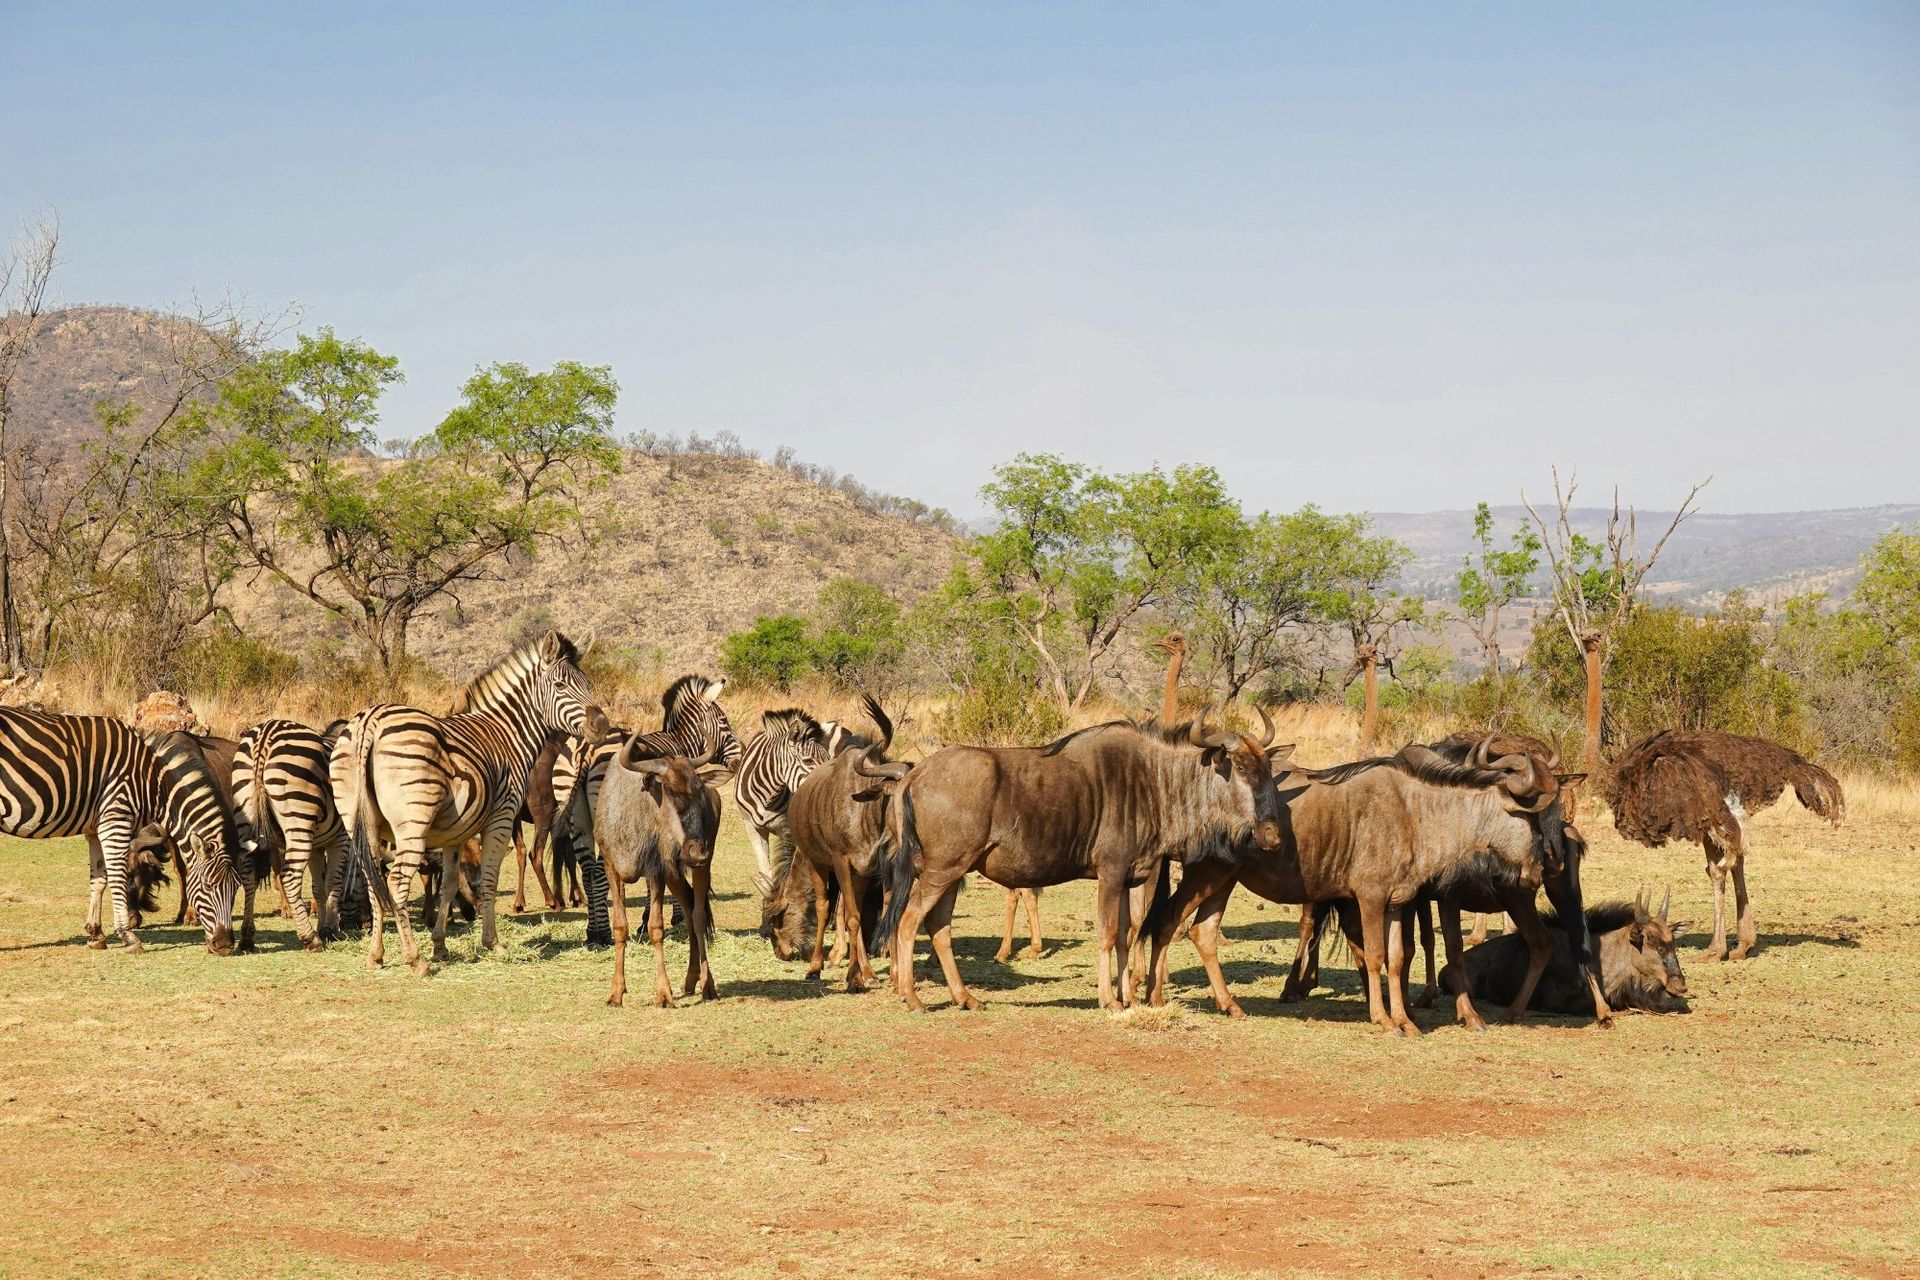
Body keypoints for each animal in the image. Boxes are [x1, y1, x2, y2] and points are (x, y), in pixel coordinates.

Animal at [0, 708, 241, 953]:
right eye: (208, 885)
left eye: (235, 888)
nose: (225, 945)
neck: (151, 784)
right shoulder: (116, 818)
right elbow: (116, 876)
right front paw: (128, 936)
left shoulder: (95, 828)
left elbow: (99, 879)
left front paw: (96, 934)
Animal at [233, 718, 350, 951]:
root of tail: (264, 739)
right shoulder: (340, 839)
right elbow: (333, 881)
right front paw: (331, 929)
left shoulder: (317, 846)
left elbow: (318, 887)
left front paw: (323, 925)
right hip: (299, 819)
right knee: (289, 876)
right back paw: (310, 939)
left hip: (245, 814)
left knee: (248, 875)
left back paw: (247, 938)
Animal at [330, 630, 599, 974]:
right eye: (561, 686)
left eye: (588, 683)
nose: (602, 724)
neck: (507, 733)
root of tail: (370, 722)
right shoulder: (501, 818)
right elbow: (488, 881)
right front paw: (492, 944)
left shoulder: (455, 833)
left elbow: (448, 885)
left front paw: (440, 946)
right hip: (412, 823)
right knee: (396, 881)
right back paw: (414, 959)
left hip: (359, 821)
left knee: (372, 879)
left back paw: (376, 955)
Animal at [561, 674, 742, 946]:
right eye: (723, 721)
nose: (740, 757)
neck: (680, 742)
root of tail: (587, 748)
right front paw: (671, 918)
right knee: (601, 871)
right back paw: (604, 933)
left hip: (577, 819)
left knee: (589, 871)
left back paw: (594, 932)